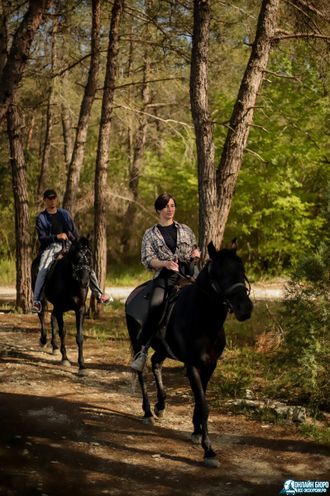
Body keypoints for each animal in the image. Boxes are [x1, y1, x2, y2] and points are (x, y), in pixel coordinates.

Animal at [31, 238, 93, 374]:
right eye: (77, 257)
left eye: (90, 257)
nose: (85, 282)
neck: (71, 282)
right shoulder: (60, 308)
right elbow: (62, 332)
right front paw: (65, 359)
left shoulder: (80, 309)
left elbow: (79, 336)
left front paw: (82, 366)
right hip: (42, 299)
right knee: (42, 315)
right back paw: (43, 340)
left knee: (51, 317)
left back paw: (54, 346)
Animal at [125, 242, 253, 466]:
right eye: (219, 273)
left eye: (241, 269)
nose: (245, 308)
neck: (203, 320)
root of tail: (132, 295)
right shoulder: (192, 364)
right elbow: (203, 405)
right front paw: (208, 450)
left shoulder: (210, 365)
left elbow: (200, 402)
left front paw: (196, 432)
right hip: (138, 341)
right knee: (141, 371)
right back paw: (148, 412)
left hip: (163, 348)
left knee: (156, 362)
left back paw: (161, 405)